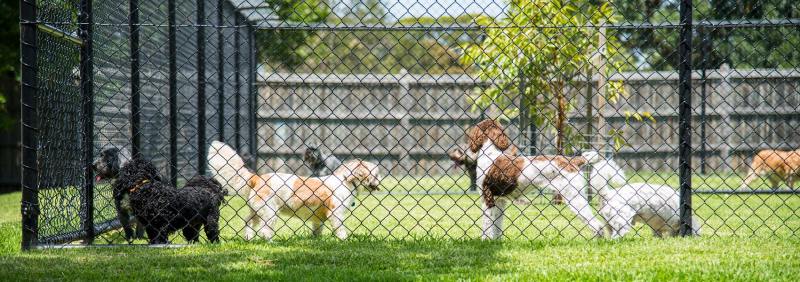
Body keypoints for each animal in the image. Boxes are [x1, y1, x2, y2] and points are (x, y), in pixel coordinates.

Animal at [206, 141, 382, 240]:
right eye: (376, 174)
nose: (380, 179)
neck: (345, 181)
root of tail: (257, 178)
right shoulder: (335, 213)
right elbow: (340, 228)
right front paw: (344, 239)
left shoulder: (318, 217)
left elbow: (317, 229)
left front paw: (316, 240)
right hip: (270, 212)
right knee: (264, 230)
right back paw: (269, 241)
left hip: (256, 210)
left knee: (248, 221)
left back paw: (249, 237)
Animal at [466, 118, 604, 238]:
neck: (490, 153)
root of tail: (573, 161)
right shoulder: (500, 201)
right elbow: (497, 228)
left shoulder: (487, 198)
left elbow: (487, 227)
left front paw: (485, 241)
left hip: (574, 197)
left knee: (597, 225)